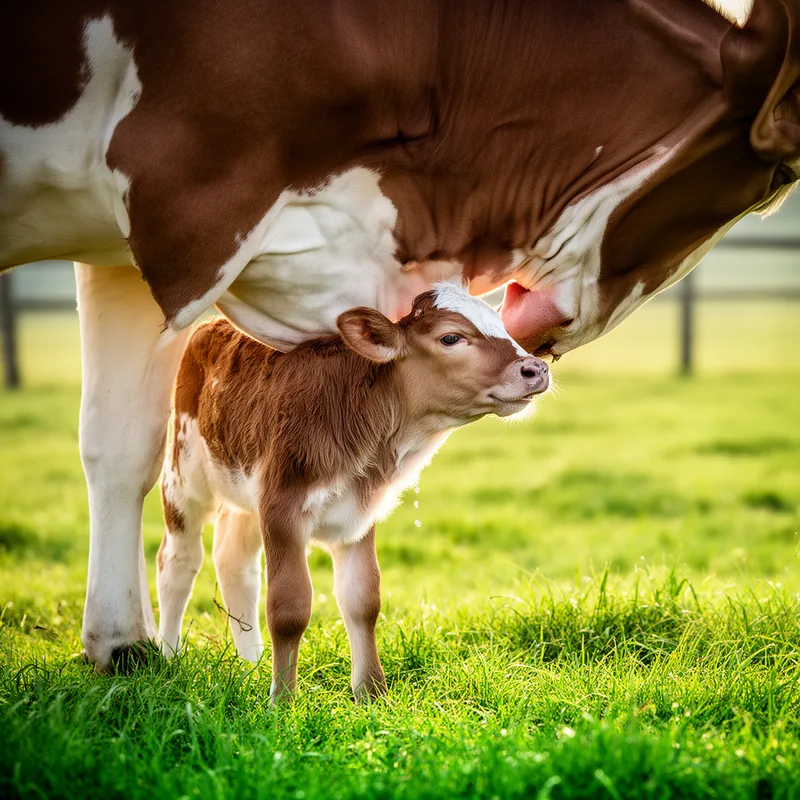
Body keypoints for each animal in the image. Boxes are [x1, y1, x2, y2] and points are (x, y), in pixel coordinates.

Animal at [156, 282, 549, 700]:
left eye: (505, 328)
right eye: (451, 337)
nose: (537, 368)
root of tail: (211, 324)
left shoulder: (357, 515)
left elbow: (363, 599)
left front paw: (372, 694)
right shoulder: (281, 508)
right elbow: (289, 607)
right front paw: (283, 699)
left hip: (243, 491)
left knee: (234, 563)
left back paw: (253, 664)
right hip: (183, 475)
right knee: (177, 562)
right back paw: (169, 657)